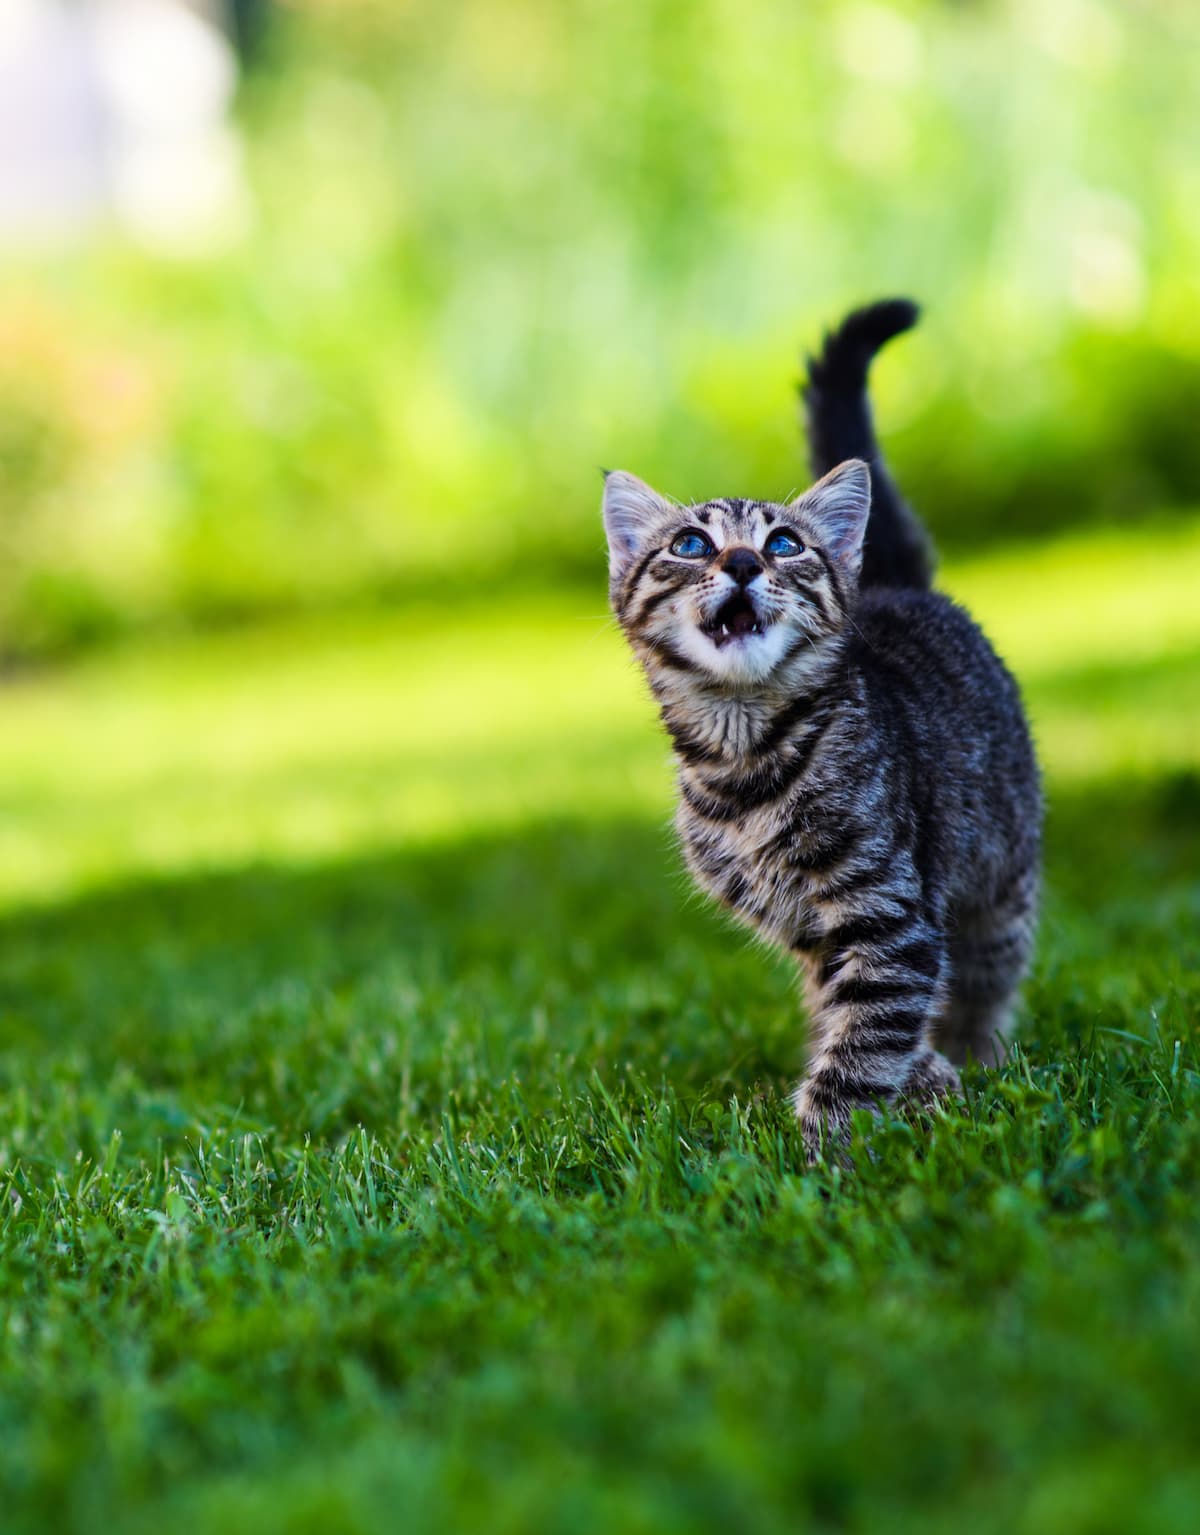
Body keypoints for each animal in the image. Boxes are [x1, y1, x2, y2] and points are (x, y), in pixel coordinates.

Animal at [601, 296, 1043, 1160]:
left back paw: (978, 1057)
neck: (744, 755)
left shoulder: (891, 908)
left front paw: (826, 1147)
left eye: (783, 544)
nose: (742, 563)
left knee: (981, 977)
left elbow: (872, 1026)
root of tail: (895, 585)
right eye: (691, 544)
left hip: (1000, 878)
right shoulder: (815, 927)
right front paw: (893, 1092)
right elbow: (860, 1013)